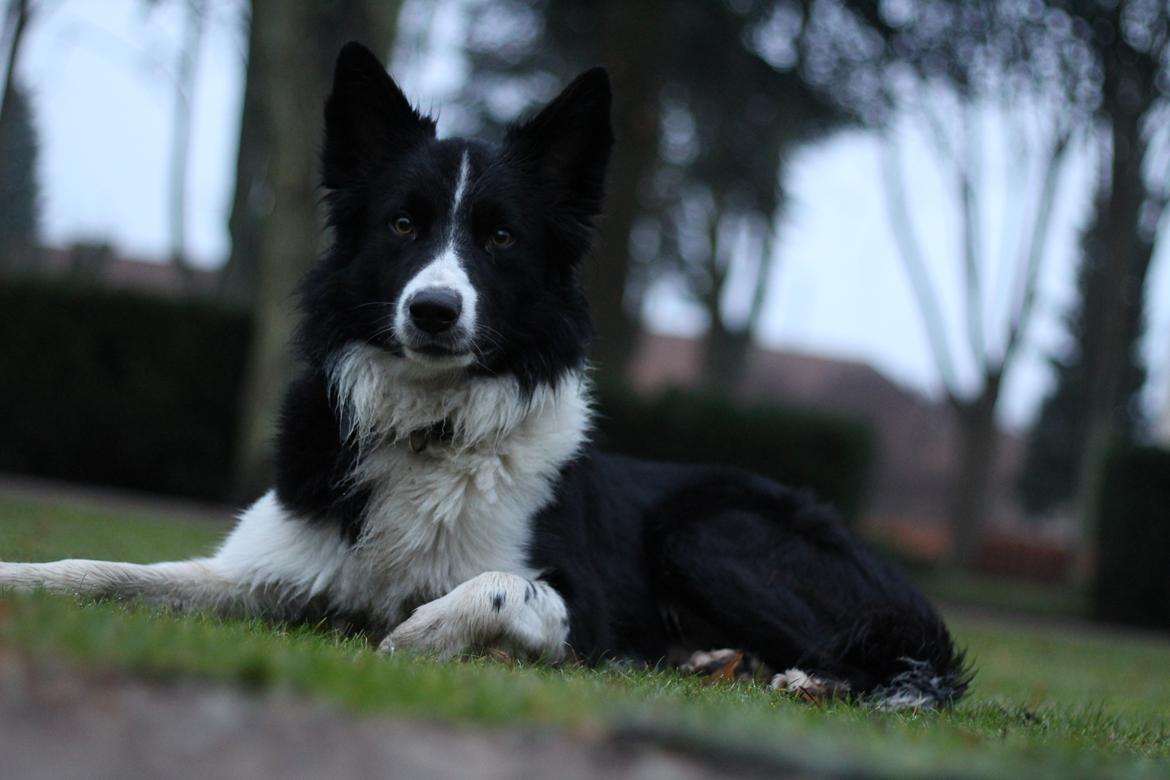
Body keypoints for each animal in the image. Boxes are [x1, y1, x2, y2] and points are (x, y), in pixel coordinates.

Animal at [0, 42, 968, 711]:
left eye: (500, 237)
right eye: (403, 224)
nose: (434, 309)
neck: (432, 428)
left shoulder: (579, 605)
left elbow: (502, 588)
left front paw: (417, 633)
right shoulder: (260, 571)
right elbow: (107, 571)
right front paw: (24, 580)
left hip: (712, 531)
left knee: (900, 666)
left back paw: (800, 679)